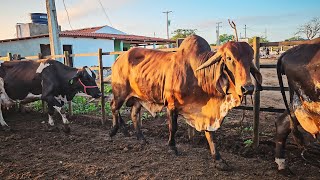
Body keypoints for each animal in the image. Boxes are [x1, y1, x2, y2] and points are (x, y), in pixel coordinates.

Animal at [109, 34, 262, 170]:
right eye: (229, 58)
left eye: (250, 57)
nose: (248, 88)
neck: (198, 76)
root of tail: (119, 58)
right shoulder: (171, 105)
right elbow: (173, 127)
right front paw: (172, 147)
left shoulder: (206, 114)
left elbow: (210, 134)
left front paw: (218, 159)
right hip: (120, 93)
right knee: (113, 107)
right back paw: (114, 131)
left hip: (138, 98)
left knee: (134, 114)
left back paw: (141, 139)